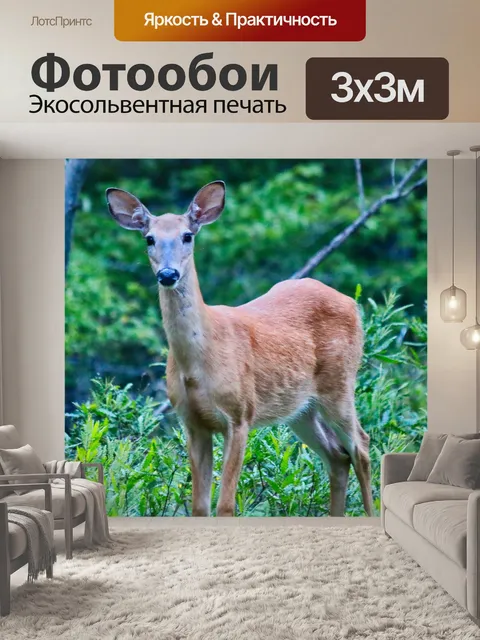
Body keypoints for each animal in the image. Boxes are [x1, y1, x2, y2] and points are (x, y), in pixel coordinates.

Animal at [106, 181, 373, 518]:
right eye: (149, 238)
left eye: (187, 235)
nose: (167, 275)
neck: (198, 364)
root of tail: (353, 303)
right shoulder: (192, 422)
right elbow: (200, 507)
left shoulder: (240, 414)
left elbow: (225, 506)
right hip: (300, 408)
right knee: (338, 457)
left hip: (339, 384)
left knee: (361, 446)